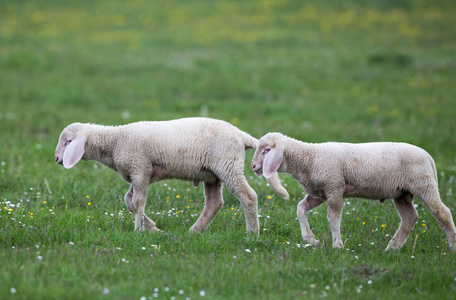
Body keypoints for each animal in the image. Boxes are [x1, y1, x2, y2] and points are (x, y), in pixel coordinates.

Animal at [53, 118, 288, 234]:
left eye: (68, 142)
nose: (56, 159)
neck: (115, 141)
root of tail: (241, 135)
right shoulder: (139, 173)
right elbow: (128, 201)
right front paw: (153, 227)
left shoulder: (140, 169)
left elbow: (137, 202)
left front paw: (139, 230)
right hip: (213, 174)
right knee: (214, 203)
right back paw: (194, 231)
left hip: (228, 165)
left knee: (248, 196)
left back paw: (252, 233)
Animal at [251, 132, 456, 252]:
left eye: (267, 150)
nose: (252, 166)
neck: (309, 158)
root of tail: (429, 157)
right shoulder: (319, 192)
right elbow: (300, 208)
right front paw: (311, 240)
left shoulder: (334, 187)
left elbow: (333, 218)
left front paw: (337, 245)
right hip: (401, 193)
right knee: (409, 217)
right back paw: (392, 248)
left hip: (424, 184)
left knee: (443, 213)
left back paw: (452, 246)